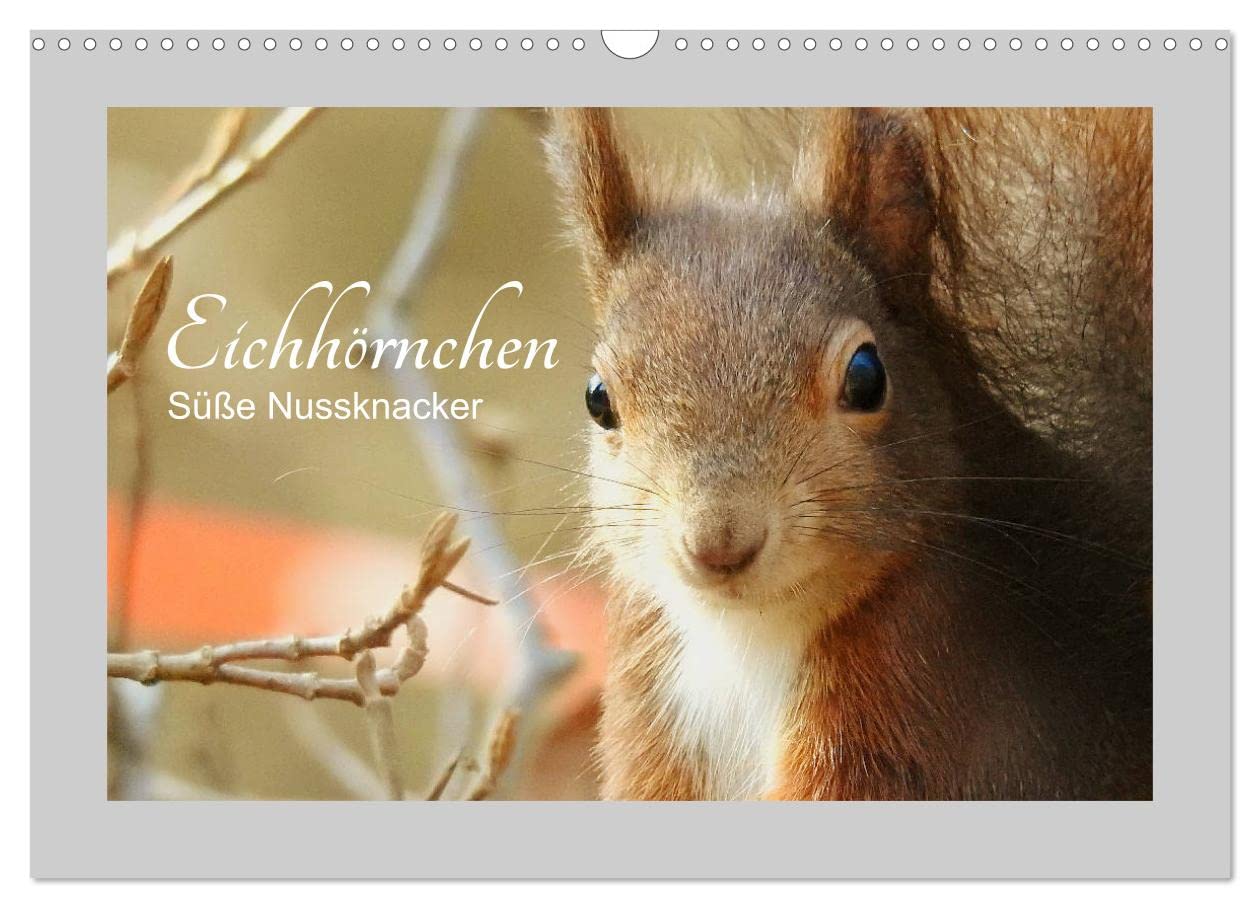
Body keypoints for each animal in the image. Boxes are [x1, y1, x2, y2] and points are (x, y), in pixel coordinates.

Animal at [545, 108, 1152, 800]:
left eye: (866, 377)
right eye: (599, 399)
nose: (719, 544)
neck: (745, 636)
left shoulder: (910, 694)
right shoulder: (653, 702)